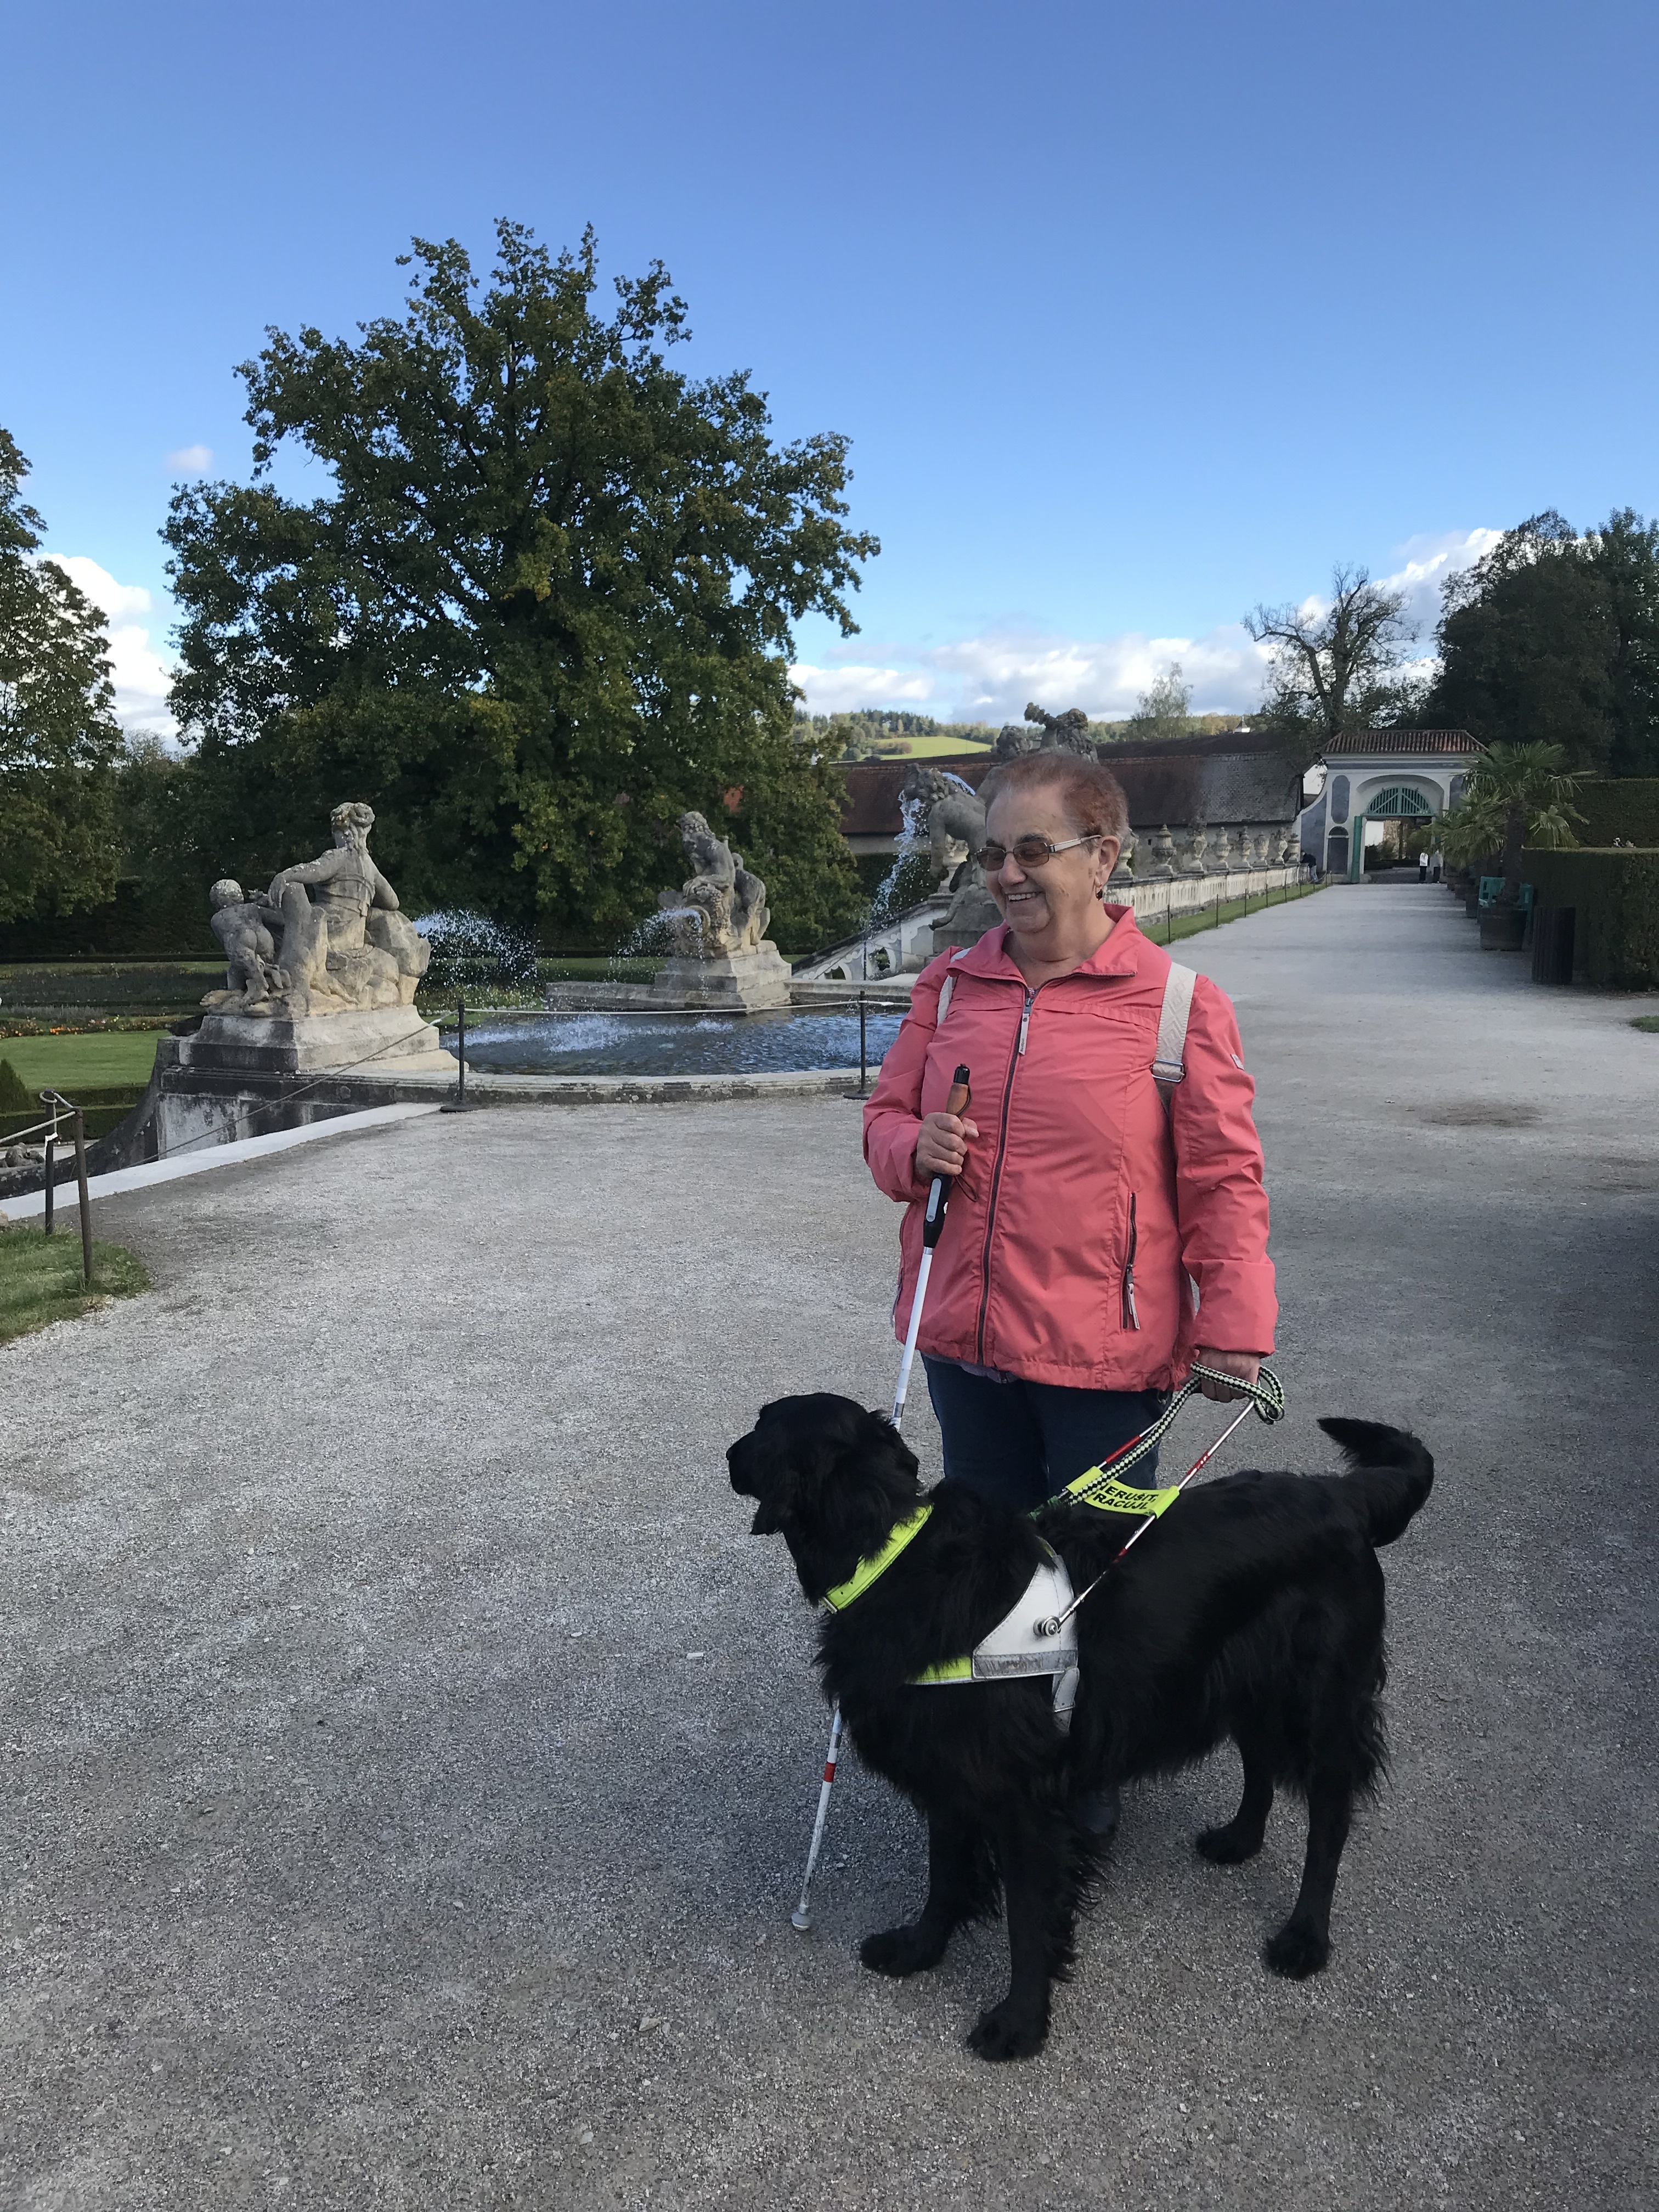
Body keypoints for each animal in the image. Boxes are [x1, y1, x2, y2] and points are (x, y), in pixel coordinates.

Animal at [727, 1393, 1433, 2061]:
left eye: (762, 1426)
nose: (728, 1454)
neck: (893, 1561)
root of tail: (1339, 1494)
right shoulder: (953, 1779)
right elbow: (945, 1877)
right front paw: (920, 1949)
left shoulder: (1026, 1802)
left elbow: (1027, 1919)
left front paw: (1018, 2024)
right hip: (1246, 1683)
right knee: (1258, 1762)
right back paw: (1238, 1840)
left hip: (1319, 1703)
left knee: (1329, 1820)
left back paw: (1305, 1937)